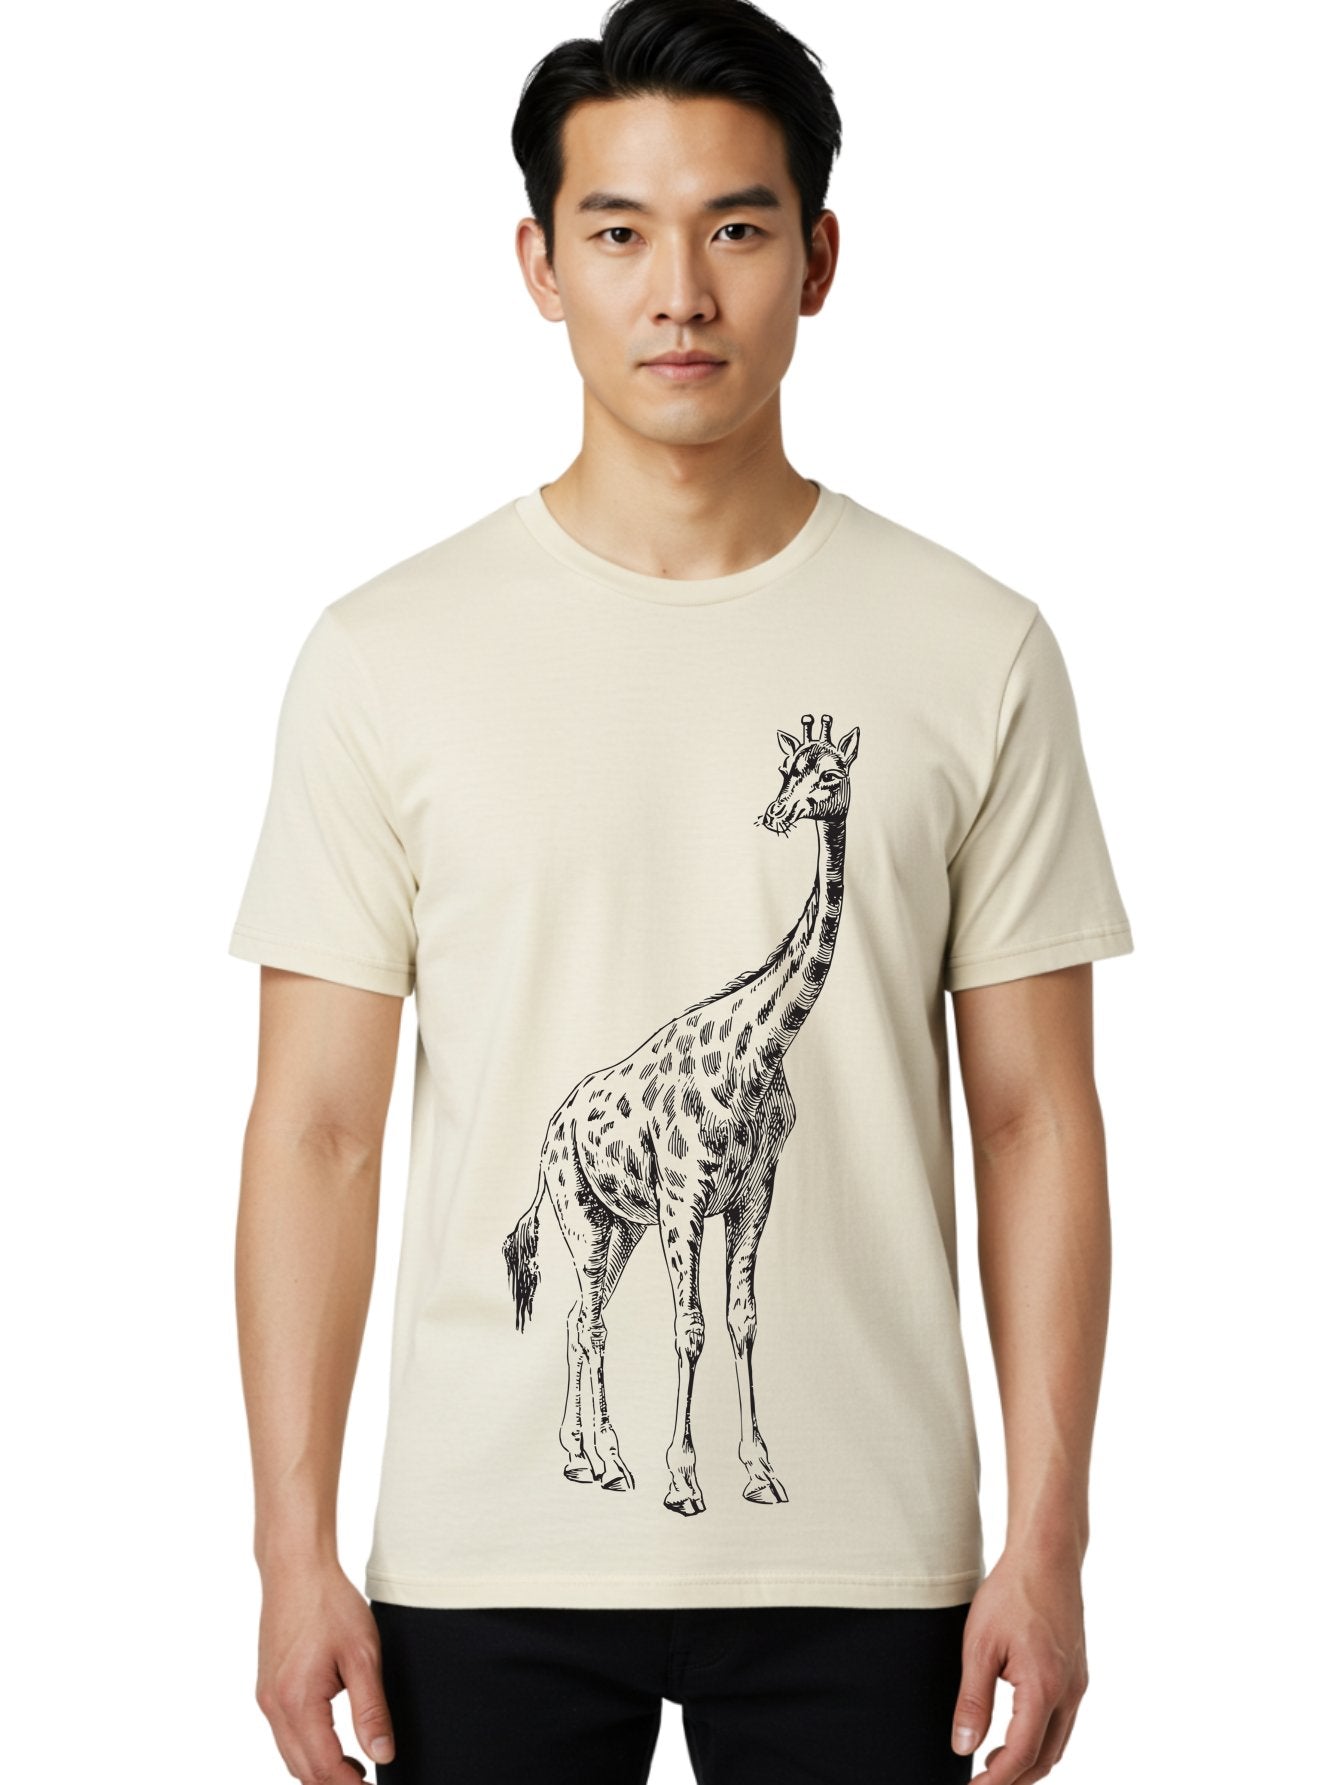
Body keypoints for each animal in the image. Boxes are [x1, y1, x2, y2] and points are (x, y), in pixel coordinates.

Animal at [502, 711, 859, 1516]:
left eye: (830, 776)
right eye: (788, 771)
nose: (776, 814)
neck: (758, 1051)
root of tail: (549, 1133)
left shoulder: (753, 1194)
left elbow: (742, 1320)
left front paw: (759, 1472)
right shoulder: (683, 1198)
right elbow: (688, 1328)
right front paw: (683, 1477)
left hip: (621, 1226)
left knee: (578, 1319)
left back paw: (581, 1456)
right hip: (584, 1216)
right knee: (593, 1321)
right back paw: (611, 1461)